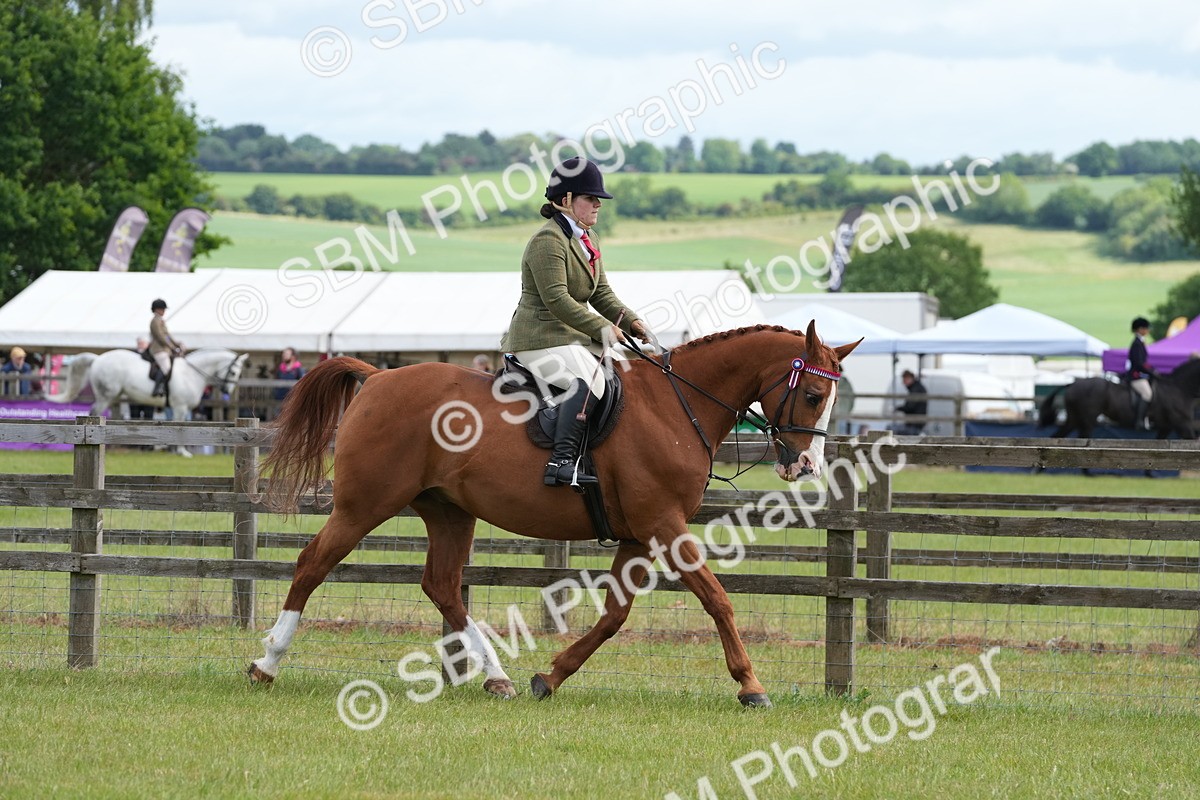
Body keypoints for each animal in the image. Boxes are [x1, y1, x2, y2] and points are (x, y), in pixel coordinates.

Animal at [47, 348, 249, 455]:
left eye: (239, 373)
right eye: (233, 372)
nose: (227, 391)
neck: (191, 374)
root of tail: (98, 358)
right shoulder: (180, 407)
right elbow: (181, 427)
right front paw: (181, 451)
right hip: (106, 396)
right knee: (95, 413)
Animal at [249, 323, 860, 707]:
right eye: (811, 395)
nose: (806, 465)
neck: (676, 405)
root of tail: (376, 377)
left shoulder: (639, 535)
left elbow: (614, 615)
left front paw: (550, 676)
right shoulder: (664, 525)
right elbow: (717, 600)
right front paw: (751, 686)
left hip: (449, 512)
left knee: (443, 585)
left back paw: (497, 679)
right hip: (364, 505)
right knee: (312, 564)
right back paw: (267, 664)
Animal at [1038, 358, 1200, 441]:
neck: (1179, 388)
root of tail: (1073, 383)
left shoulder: (1167, 426)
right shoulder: (1182, 424)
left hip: (1074, 418)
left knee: (1058, 436)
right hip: (1087, 419)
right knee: (1083, 439)